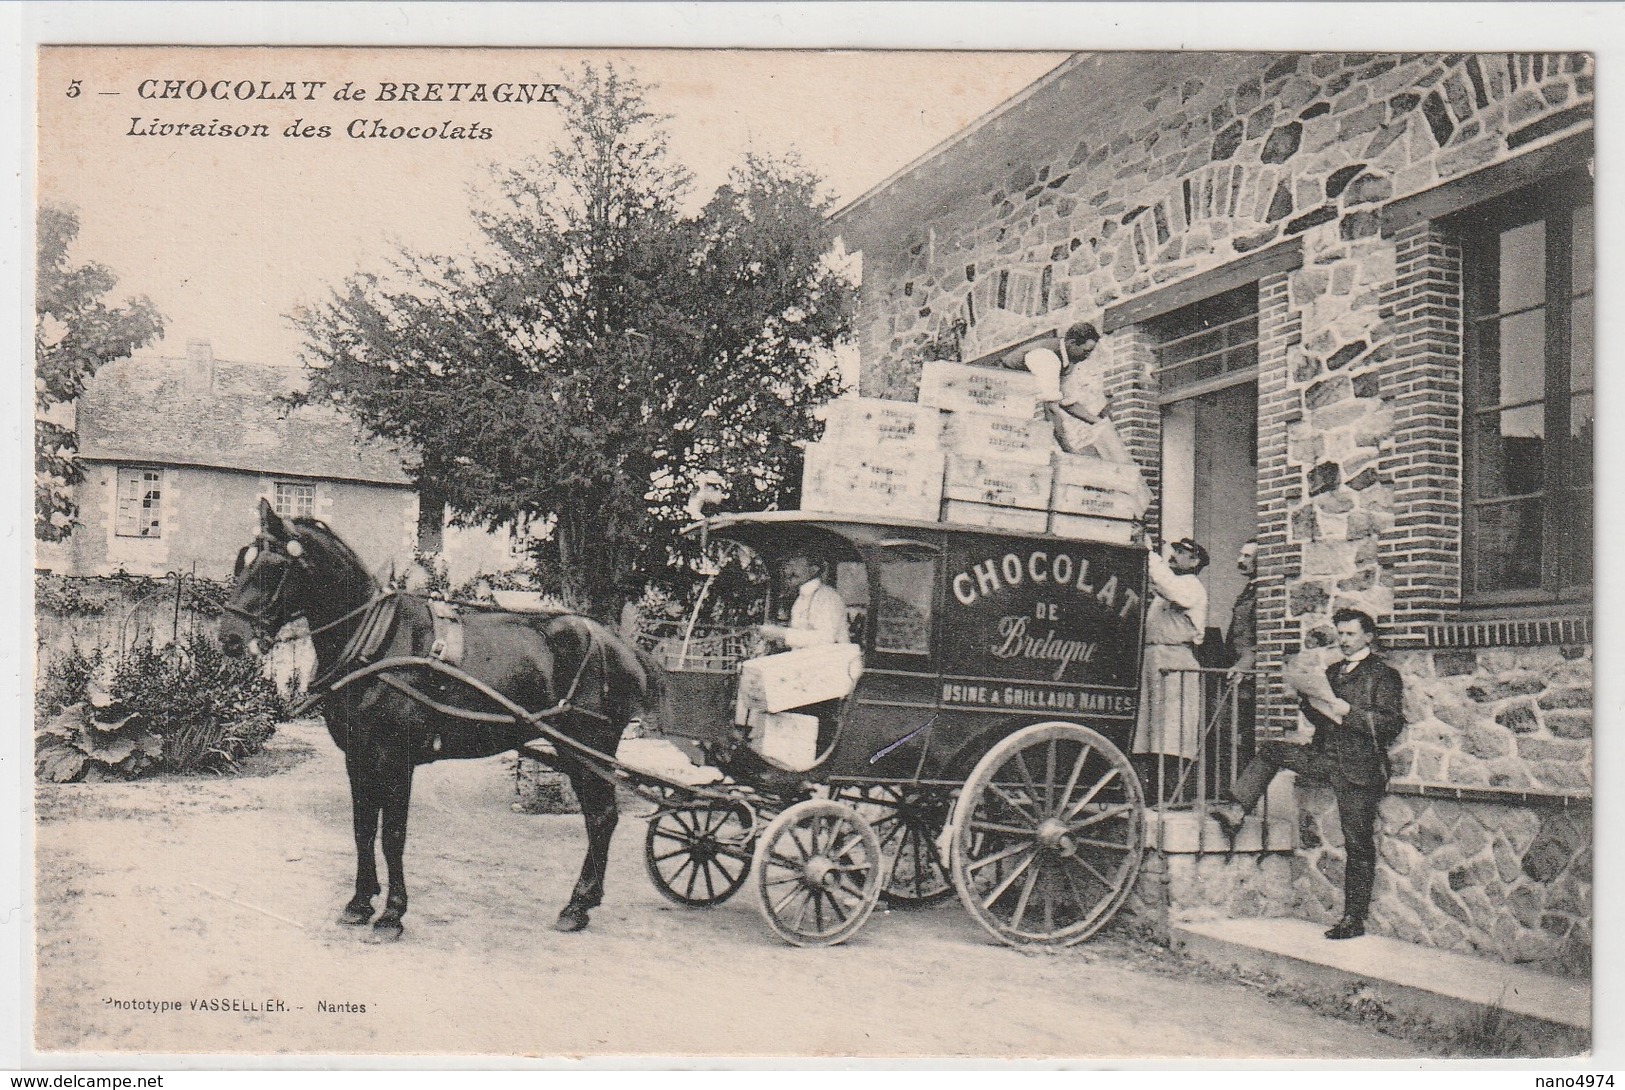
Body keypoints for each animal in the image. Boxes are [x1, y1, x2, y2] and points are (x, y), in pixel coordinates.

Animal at [222, 500, 666, 942]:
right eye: (241, 559)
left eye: (273, 566)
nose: (229, 637)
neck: (376, 643)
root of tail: (617, 643)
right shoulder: (357, 757)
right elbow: (362, 829)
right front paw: (359, 903)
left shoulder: (395, 759)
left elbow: (392, 836)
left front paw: (391, 915)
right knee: (597, 816)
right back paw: (583, 902)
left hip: (589, 745)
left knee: (602, 816)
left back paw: (577, 905)